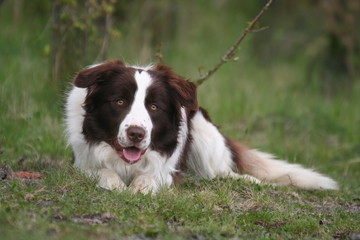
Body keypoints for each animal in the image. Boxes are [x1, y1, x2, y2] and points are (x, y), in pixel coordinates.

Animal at [66, 60, 338, 193]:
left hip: (204, 134)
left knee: (225, 172)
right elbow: (102, 171)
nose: (136, 134)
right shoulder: (81, 162)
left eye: (154, 106)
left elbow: (150, 176)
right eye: (120, 101)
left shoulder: (167, 169)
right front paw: (114, 183)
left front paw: (140, 187)